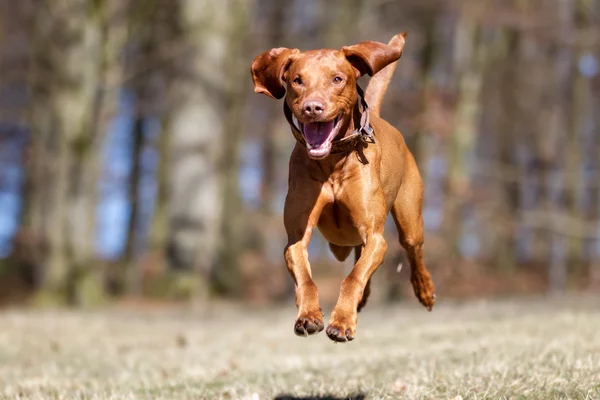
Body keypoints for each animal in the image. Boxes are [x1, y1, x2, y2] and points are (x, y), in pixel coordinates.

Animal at [251, 32, 434, 342]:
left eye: (337, 79)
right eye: (297, 80)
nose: (313, 107)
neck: (333, 163)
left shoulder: (375, 235)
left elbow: (353, 277)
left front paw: (342, 322)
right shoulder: (296, 237)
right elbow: (306, 278)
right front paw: (308, 315)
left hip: (410, 221)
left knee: (412, 251)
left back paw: (424, 288)